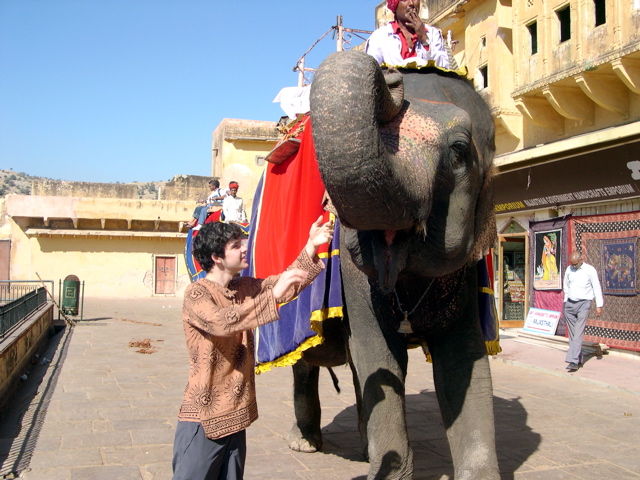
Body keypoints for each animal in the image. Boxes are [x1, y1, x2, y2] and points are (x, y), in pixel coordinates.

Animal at [286, 49, 500, 480]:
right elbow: (379, 356)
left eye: (458, 151)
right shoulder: (354, 282)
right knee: (308, 357)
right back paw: (305, 443)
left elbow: (463, 364)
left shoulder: (466, 275)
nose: (392, 79)